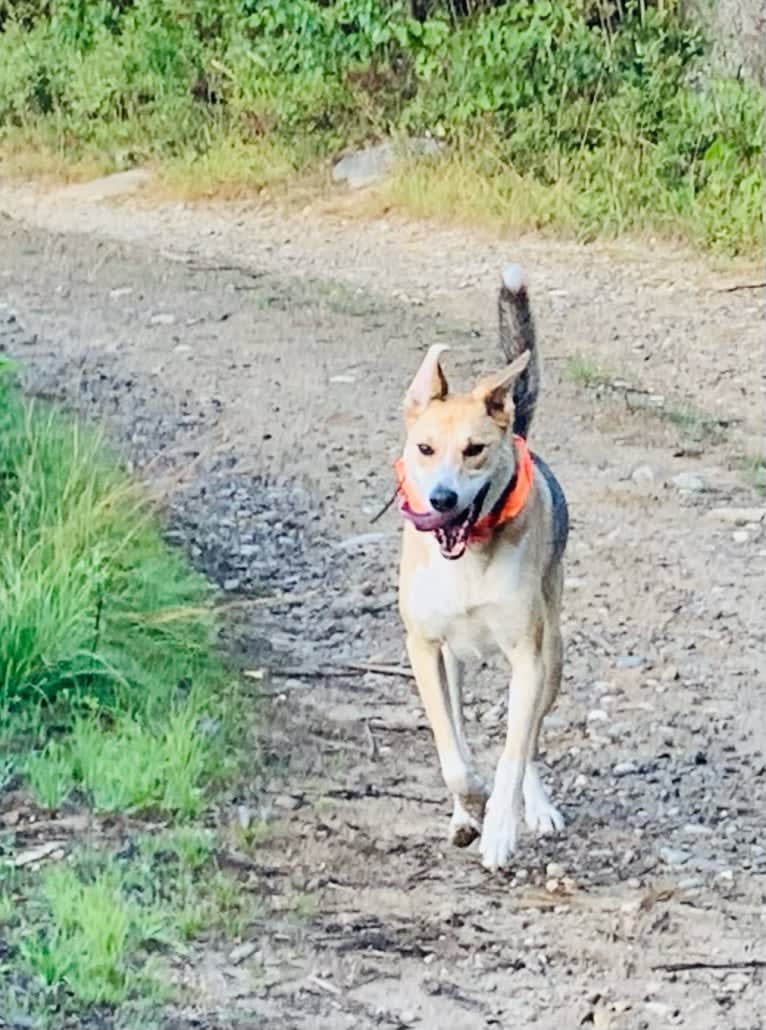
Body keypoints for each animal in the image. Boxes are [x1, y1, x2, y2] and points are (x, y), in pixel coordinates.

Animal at [395, 263, 568, 869]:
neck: (468, 556)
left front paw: (500, 828)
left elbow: (514, 754)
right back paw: (465, 811)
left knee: (530, 737)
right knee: (463, 726)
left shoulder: (529, 657)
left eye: (473, 449)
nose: (443, 498)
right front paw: (469, 803)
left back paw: (532, 807)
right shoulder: (424, 649)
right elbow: (453, 750)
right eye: (424, 448)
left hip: (553, 655)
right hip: (453, 662)